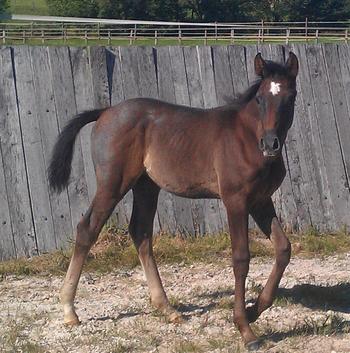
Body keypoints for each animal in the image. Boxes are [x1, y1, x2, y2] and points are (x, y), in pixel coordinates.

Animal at [48, 51, 298, 348]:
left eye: (290, 97)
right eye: (259, 98)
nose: (270, 144)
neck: (247, 137)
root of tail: (106, 111)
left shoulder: (260, 201)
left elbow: (283, 249)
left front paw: (253, 310)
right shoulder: (235, 201)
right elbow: (241, 259)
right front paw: (246, 330)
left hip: (146, 186)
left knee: (141, 233)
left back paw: (167, 308)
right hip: (113, 184)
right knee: (87, 229)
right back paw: (69, 310)